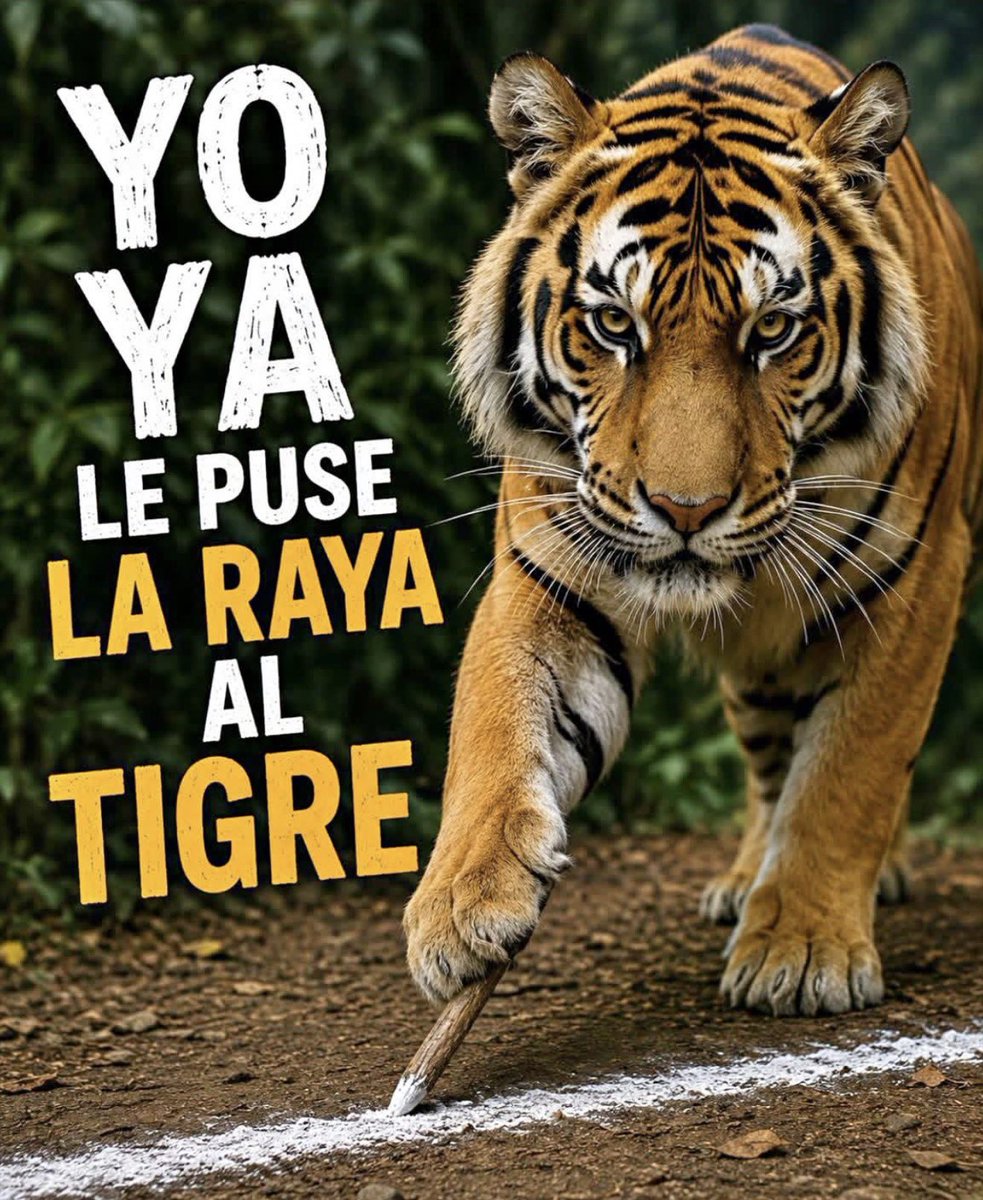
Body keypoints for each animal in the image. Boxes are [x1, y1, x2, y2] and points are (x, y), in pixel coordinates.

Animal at [404, 23, 983, 1016]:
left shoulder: (913, 580)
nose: (685, 510)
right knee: (768, 762)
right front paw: (462, 904)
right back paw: (744, 879)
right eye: (612, 324)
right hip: (756, 670)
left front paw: (804, 952)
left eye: (773, 331)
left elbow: (852, 767)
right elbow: (492, 718)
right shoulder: (550, 568)